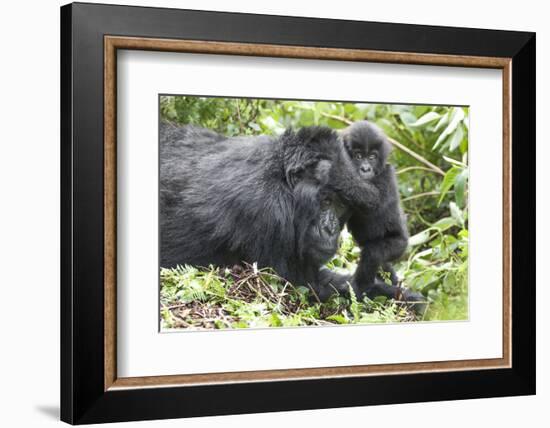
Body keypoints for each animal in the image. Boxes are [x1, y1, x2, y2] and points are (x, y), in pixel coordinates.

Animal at [340, 122, 426, 310]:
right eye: (358, 156)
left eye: (372, 157)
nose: (365, 168)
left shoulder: (386, 176)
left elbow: (372, 200)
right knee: (384, 265)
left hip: (398, 245)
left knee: (374, 254)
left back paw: (359, 289)